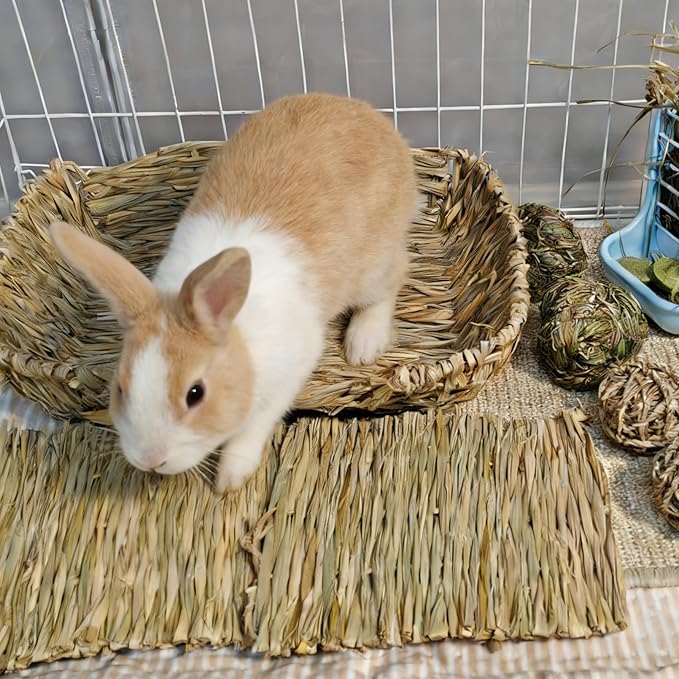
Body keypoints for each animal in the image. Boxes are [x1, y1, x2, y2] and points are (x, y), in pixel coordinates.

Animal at [50, 92, 417, 493]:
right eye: (120, 387)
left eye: (196, 393)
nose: (150, 460)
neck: (237, 337)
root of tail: (365, 113)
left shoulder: (286, 378)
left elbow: (252, 428)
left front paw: (230, 477)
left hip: (375, 265)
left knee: (393, 277)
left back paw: (363, 345)